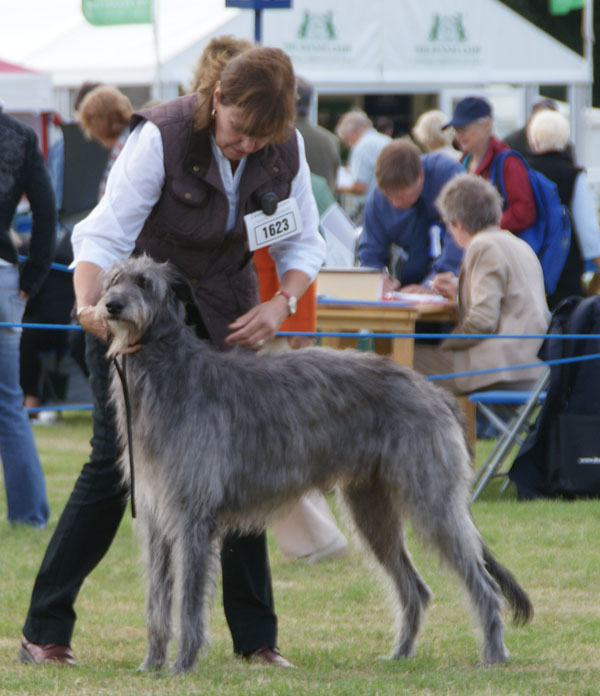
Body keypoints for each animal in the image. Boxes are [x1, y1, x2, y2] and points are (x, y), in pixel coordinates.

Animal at [98, 256, 536, 676]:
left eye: (144, 283)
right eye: (113, 280)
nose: (111, 305)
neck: (169, 373)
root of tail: (435, 392)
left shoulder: (192, 517)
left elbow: (189, 601)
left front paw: (182, 665)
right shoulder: (157, 520)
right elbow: (156, 601)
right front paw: (151, 664)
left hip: (432, 501)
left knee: (484, 584)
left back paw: (493, 655)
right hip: (371, 509)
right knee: (415, 588)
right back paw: (400, 655)